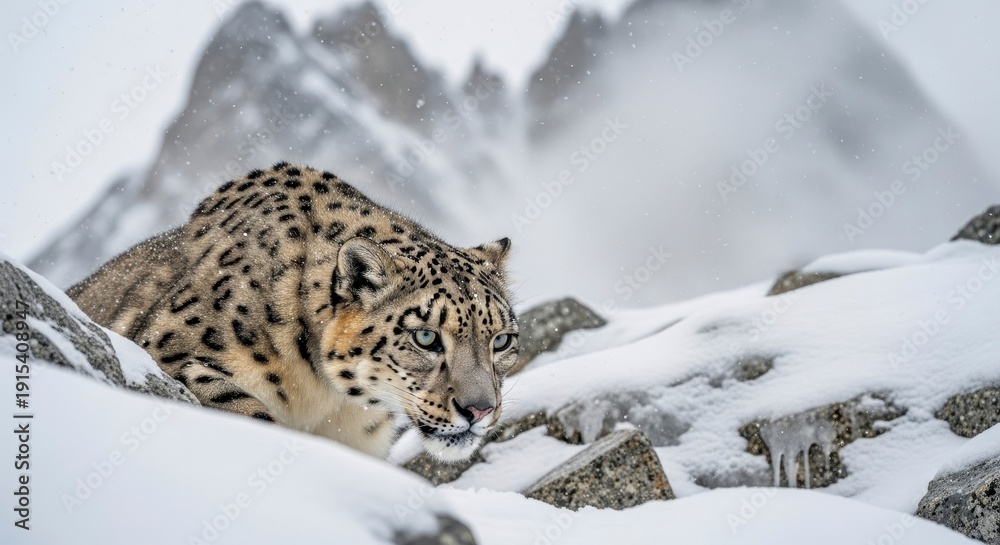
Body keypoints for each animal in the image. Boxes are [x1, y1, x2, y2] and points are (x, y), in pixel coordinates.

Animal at [68, 162, 519, 461]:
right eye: (425, 336)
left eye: (501, 340)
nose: (480, 410)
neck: (326, 400)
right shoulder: (169, 353)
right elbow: (244, 411)